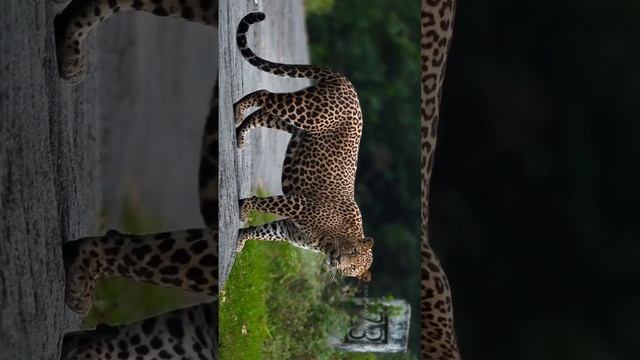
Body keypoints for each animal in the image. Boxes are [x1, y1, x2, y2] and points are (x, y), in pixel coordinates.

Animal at [234, 12, 376, 282]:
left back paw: (239, 135)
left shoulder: (287, 228)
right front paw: (245, 210)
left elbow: (264, 230)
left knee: (262, 113)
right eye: (352, 254)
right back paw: (237, 111)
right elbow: (262, 203)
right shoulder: (298, 204)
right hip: (306, 113)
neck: (332, 241)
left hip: (297, 122)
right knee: (264, 94)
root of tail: (346, 80)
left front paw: (242, 238)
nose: (339, 262)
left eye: (353, 269)